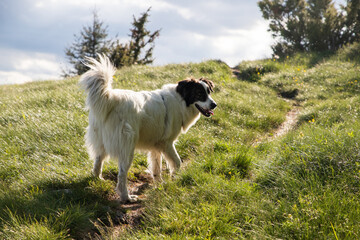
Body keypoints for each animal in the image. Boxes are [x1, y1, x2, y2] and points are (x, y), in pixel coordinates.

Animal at [80, 55, 217, 202]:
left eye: (209, 92)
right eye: (199, 94)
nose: (214, 105)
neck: (180, 100)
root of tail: (112, 99)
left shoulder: (156, 145)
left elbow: (157, 167)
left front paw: (160, 184)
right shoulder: (167, 143)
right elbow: (177, 162)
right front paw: (175, 178)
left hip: (102, 141)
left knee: (98, 161)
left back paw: (97, 180)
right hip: (127, 147)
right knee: (122, 174)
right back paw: (127, 197)